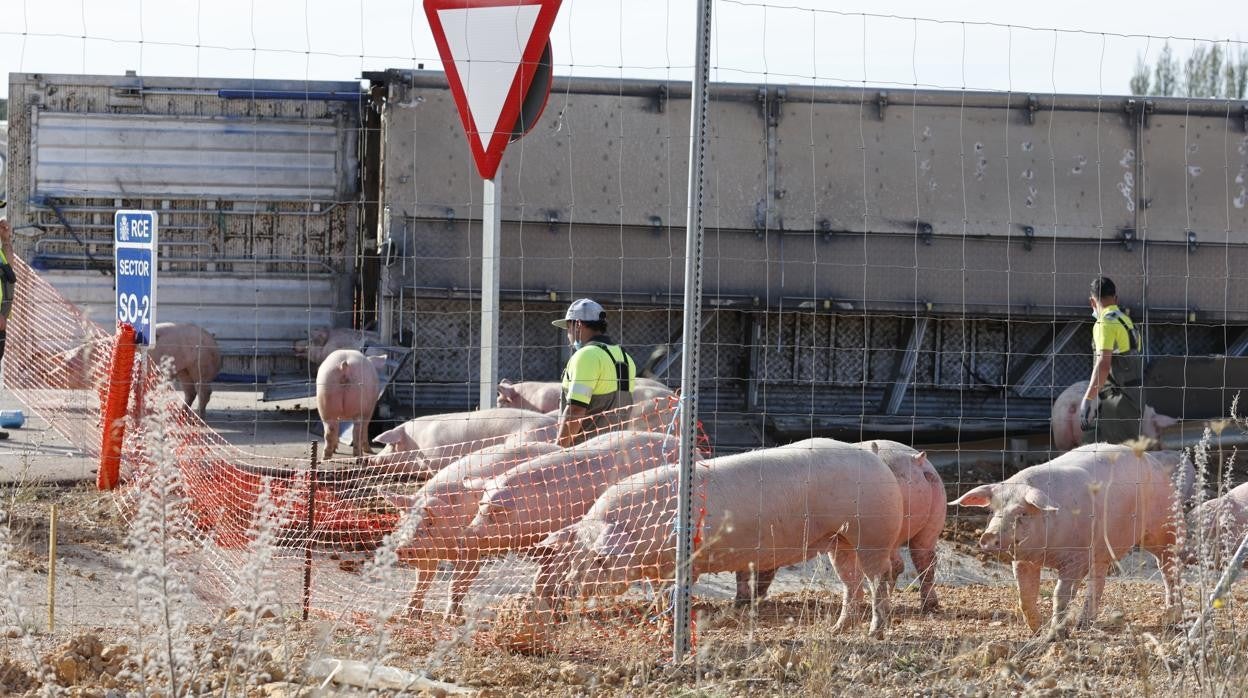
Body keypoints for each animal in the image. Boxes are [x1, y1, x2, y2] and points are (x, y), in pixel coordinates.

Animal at [376, 442, 559, 616]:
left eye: (430, 522)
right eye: (405, 521)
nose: (403, 548)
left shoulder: (470, 550)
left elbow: (458, 582)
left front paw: (451, 618)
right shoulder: (430, 556)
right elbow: (422, 582)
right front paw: (408, 615)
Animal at [541, 442, 903, 639]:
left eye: (599, 559)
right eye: (574, 556)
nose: (567, 585)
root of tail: (874, 458)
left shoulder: (682, 565)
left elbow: (672, 598)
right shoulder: (659, 569)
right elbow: (658, 600)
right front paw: (660, 630)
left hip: (873, 533)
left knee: (880, 578)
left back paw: (875, 633)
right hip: (839, 540)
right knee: (852, 583)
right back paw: (836, 630)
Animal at [953, 444, 1188, 636]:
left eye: (1022, 513)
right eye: (993, 510)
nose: (989, 536)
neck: (1045, 552)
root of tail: (1154, 461)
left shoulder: (1075, 557)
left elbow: (1060, 594)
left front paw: (1054, 635)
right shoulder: (1023, 561)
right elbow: (1025, 595)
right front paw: (1037, 632)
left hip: (1164, 527)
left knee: (1169, 569)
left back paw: (1170, 617)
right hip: (1100, 551)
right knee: (1098, 581)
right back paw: (1084, 625)